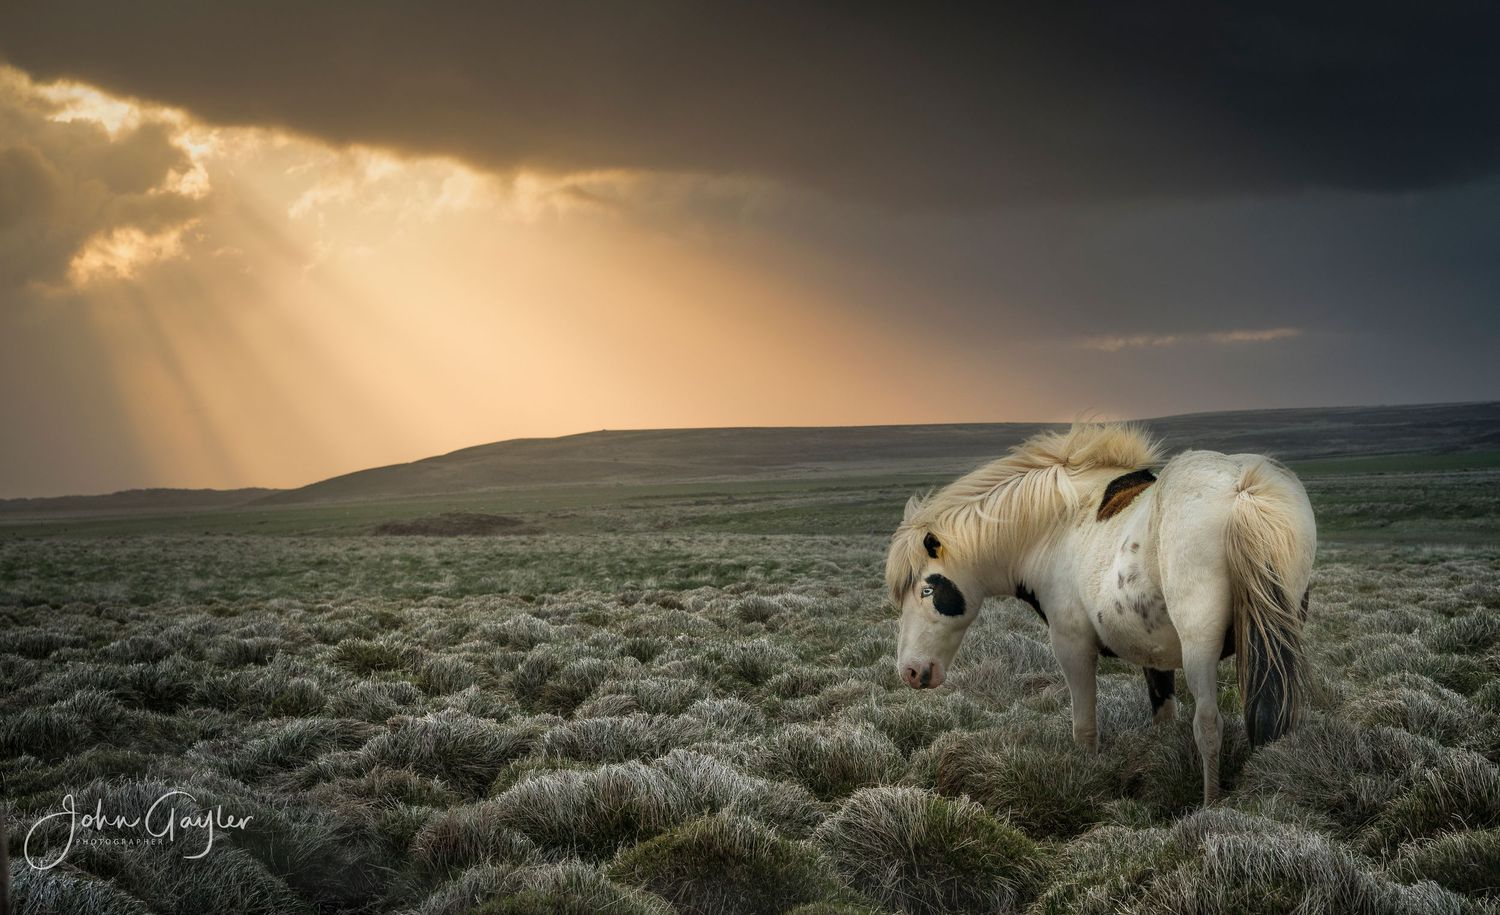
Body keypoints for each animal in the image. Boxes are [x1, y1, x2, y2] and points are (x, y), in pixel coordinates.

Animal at [886, 423, 1315, 804]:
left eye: (927, 589)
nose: (911, 672)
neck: (1055, 525)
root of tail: (1242, 489)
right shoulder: (1155, 655)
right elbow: (1164, 717)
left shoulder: (1072, 646)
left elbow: (1085, 728)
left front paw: (1086, 781)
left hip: (1201, 646)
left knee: (1209, 725)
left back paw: (1211, 807)